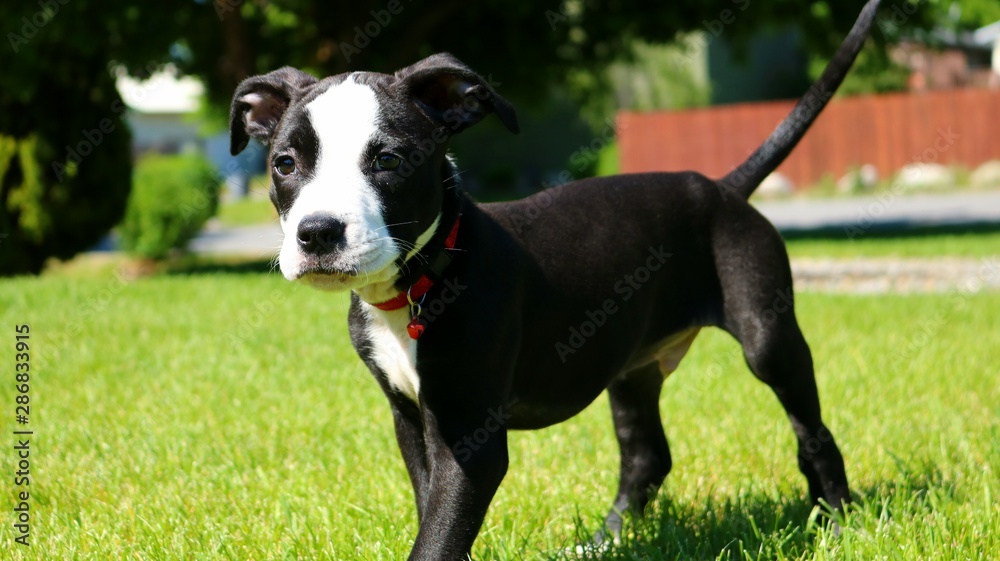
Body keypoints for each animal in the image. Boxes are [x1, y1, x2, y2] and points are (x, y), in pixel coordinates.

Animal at [230, 2, 880, 556]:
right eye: (285, 164)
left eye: (388, 160)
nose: (317, 233)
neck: (423, 278)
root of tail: (722, 188)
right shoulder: (410, 418)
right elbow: (434, 515)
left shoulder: (470, 438)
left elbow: (438, 534)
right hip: (633, 365)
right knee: (647, 455)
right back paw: (603, 543)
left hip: (768, 335)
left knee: (812, 432)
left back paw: (838, 523)